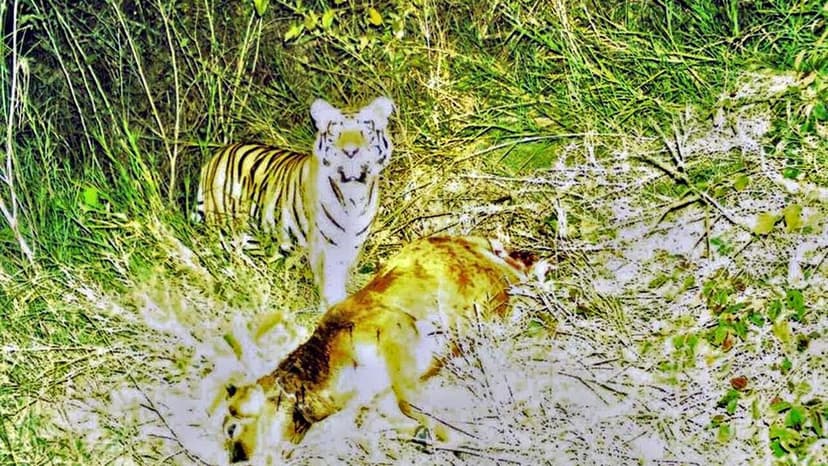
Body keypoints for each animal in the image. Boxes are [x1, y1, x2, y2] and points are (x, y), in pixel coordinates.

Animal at [194, 97, 395, 308]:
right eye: (335, 134)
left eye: (365, 132)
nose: (350, 152)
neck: (354, 193)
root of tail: (215, 157)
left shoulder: (354, 242)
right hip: (227, 231)